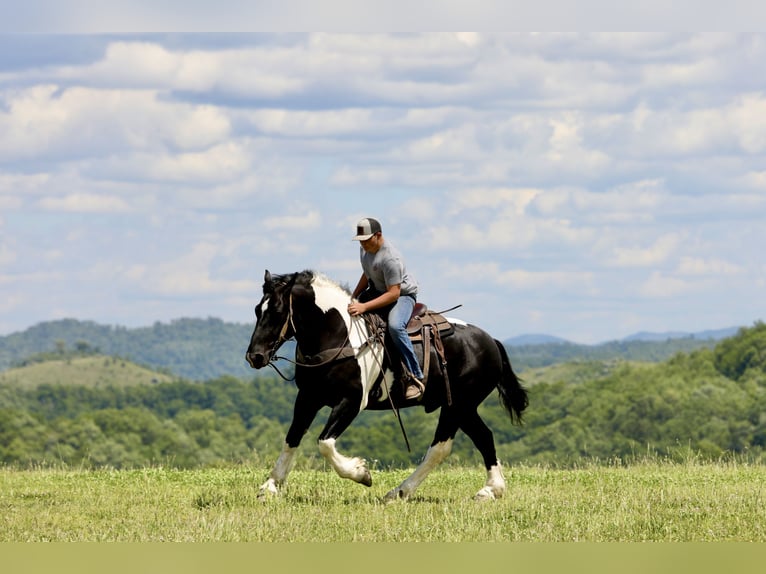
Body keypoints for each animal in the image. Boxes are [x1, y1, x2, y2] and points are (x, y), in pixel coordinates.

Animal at [245, 269, 528, 501]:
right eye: (258, 310)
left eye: (278, 311)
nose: (255, 356)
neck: (339, 336)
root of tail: (490, 341)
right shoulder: (307, 398)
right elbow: (292, 438)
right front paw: (270, 486)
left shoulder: (350, 401)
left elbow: (325, 443)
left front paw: (361, 472)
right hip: (461, 407)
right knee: (482, 437)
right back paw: (489, 490)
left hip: (458, 405)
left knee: (443, 447)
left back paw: (401, 491)